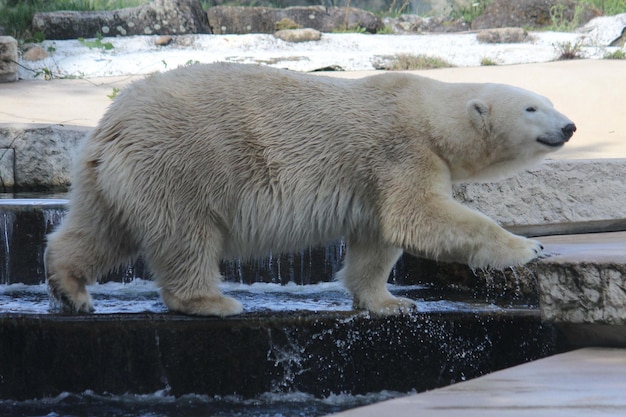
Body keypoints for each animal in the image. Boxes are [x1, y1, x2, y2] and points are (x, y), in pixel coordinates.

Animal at [44, 61, 572, 316]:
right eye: (532, 108)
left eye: (548, 101)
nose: (568, 126)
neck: (427, 112)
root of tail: (109, 125)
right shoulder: (401, 151)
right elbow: (417, 216)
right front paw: (528, 247)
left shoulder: (374, 177)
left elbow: (377, 239)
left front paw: (391, 302)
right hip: (179, 162)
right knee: (185, 234)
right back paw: (213, 302)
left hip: (113, 177)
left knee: (100, 230)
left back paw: (71, 289)